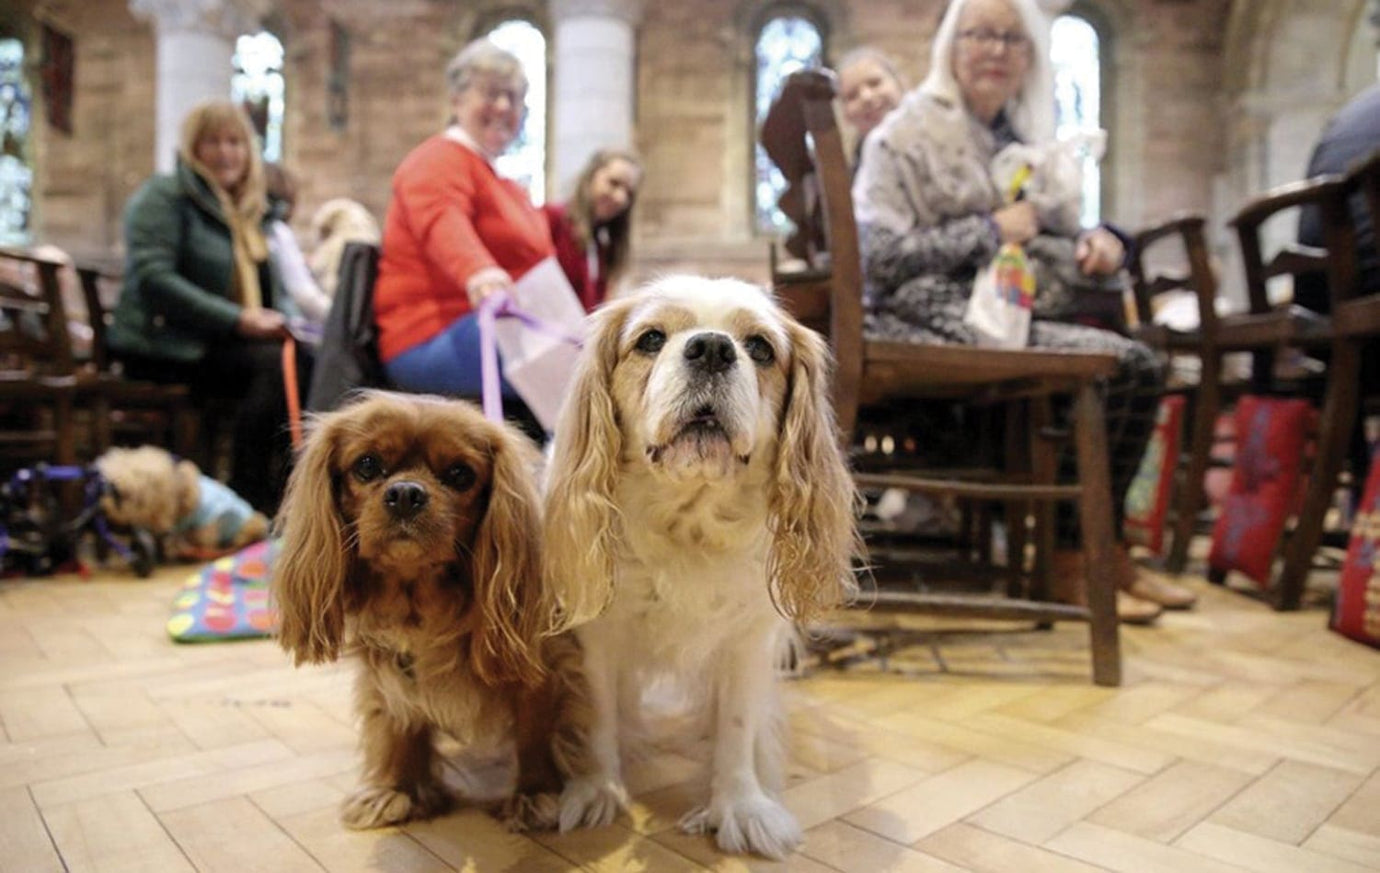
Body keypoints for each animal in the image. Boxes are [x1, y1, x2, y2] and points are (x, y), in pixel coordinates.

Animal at [540, 274, 855, 860]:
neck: (689, 521)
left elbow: (737, 724)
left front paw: (738, 804)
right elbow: (598, 716)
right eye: (649, 339)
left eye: (760, 348)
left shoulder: (749, 639)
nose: (711, 348)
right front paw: (597, 789)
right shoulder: (597, 639)